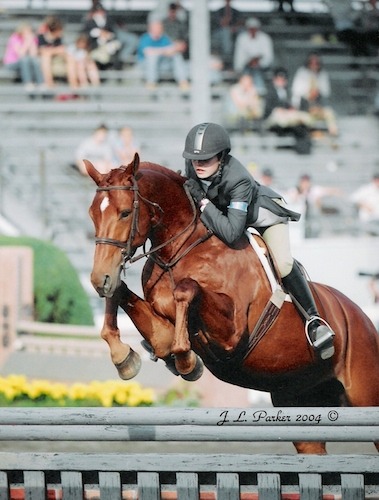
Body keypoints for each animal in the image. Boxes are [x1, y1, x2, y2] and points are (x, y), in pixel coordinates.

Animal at [85, 154, 379, 456]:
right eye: (93, 214)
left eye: (124, 213)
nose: (99, 279)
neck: (179, 250)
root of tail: (362, 318)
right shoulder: (163, 328)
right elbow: (134, 306)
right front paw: (124, 357)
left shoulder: (232, 334)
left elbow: (186, 289)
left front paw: (186, 361)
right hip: (299, 397)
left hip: (365, 395)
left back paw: (319, 331)